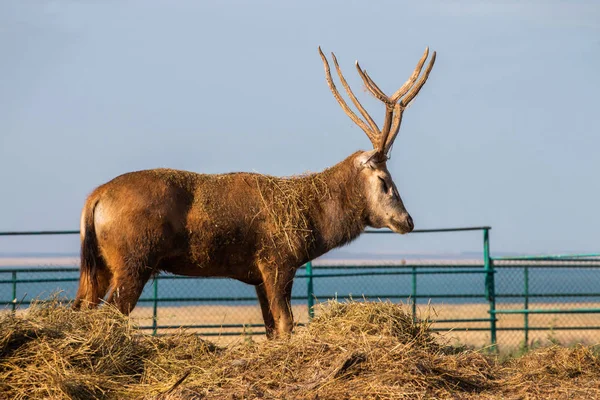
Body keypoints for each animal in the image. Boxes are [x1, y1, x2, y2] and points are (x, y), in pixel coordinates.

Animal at [72, 48, 436, 340]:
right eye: (385, 180)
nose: (407, 220)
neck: (312, 223)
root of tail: (94, 199)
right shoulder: (277, 263)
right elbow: (287, 324)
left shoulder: (259, 276)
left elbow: (272, 329)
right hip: (134, 261)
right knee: (108, 314)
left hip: (98, 265)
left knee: (81, 309)